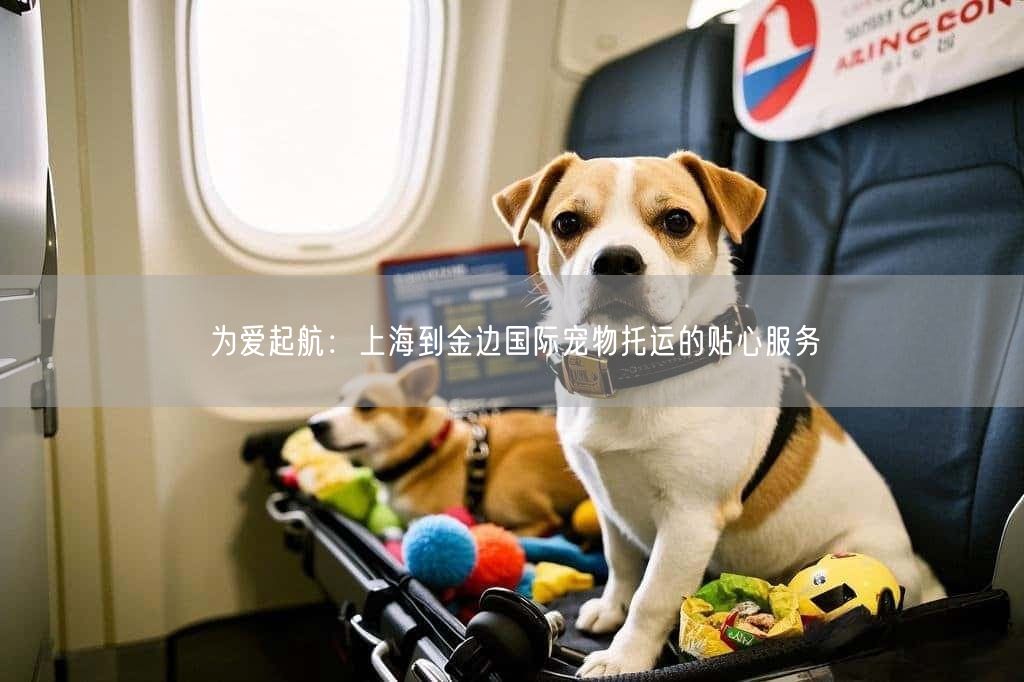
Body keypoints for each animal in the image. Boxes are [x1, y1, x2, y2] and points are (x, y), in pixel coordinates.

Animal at [308, 358, 587, 536]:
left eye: (366, 406)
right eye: (340, 398)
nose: (314, 424)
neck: (423, 452)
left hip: (507, 478)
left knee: (548, 521)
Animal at [493, 151, 945, 676]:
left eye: (677, 220)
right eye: (567, 222)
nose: (617, 259)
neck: (639, 369)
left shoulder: (689, 519)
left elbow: (651, 597)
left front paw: (625, 657)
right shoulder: (608, 505)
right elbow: (622, 565)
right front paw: (611, 609)